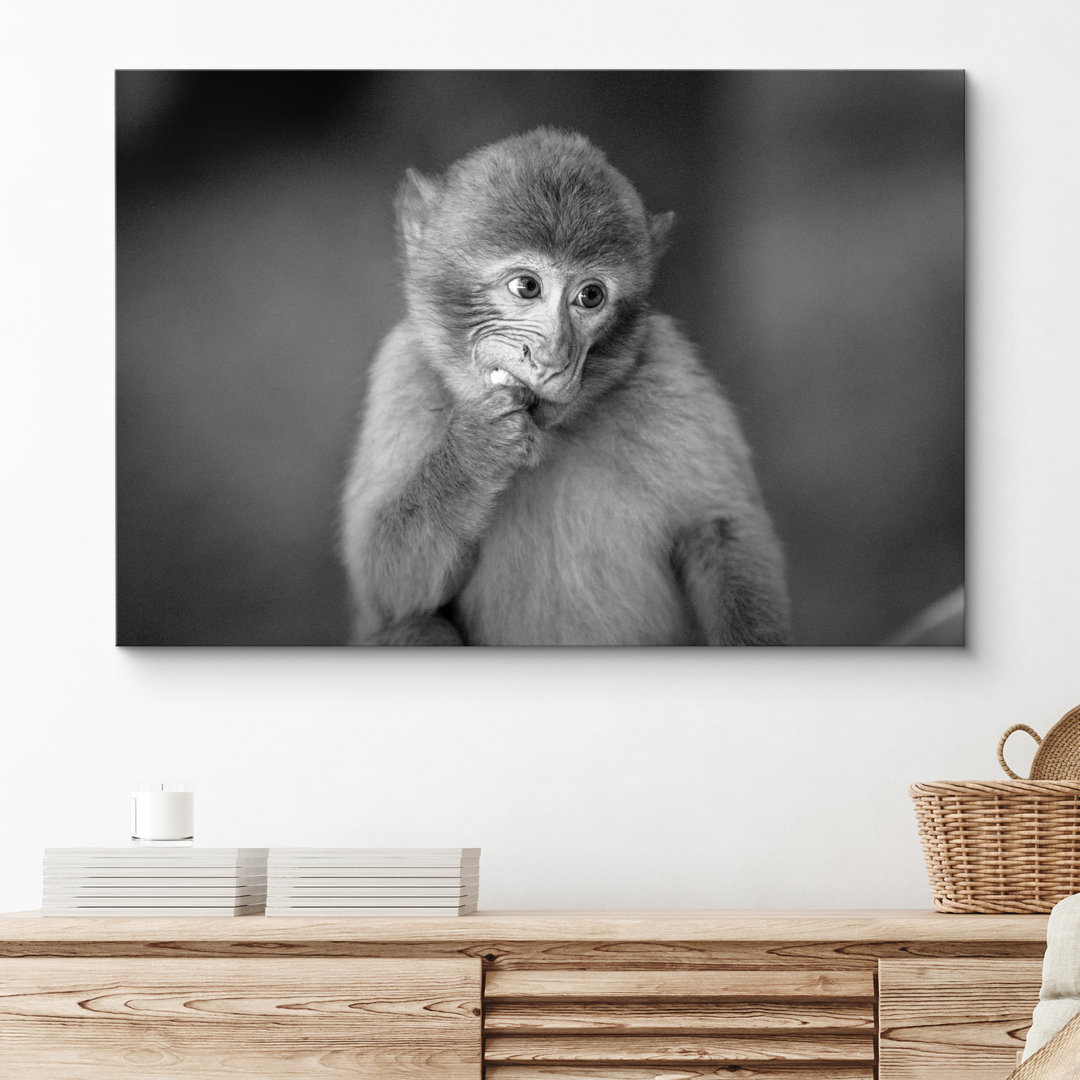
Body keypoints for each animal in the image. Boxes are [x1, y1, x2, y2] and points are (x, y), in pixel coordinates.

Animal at [340, 128, 791, 646]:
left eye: (590, 296)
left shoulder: (670, 372)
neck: (551, 437)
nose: (554, 357)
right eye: (526, 287)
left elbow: (721, 531)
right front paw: (476, 451)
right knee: (416, 626)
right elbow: (386, 589)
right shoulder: (402, 375)